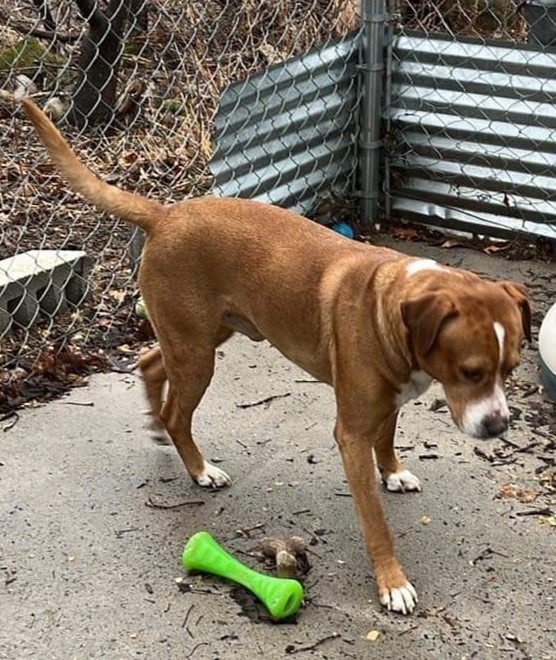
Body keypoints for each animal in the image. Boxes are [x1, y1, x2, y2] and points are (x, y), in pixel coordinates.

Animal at [20, 96, 528, 612]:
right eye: (470, 372)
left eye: (510, 369)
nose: (499, 426)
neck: (390, 304)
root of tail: (164, 214)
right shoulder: (351, 435)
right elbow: (375, 522)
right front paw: (392, 581)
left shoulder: (390, 401)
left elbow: (387, 438)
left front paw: (393, 472)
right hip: (198, 355)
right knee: (178, 414)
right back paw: (199, 468)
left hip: (200, 338)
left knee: (150, 364)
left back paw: (158, 425)